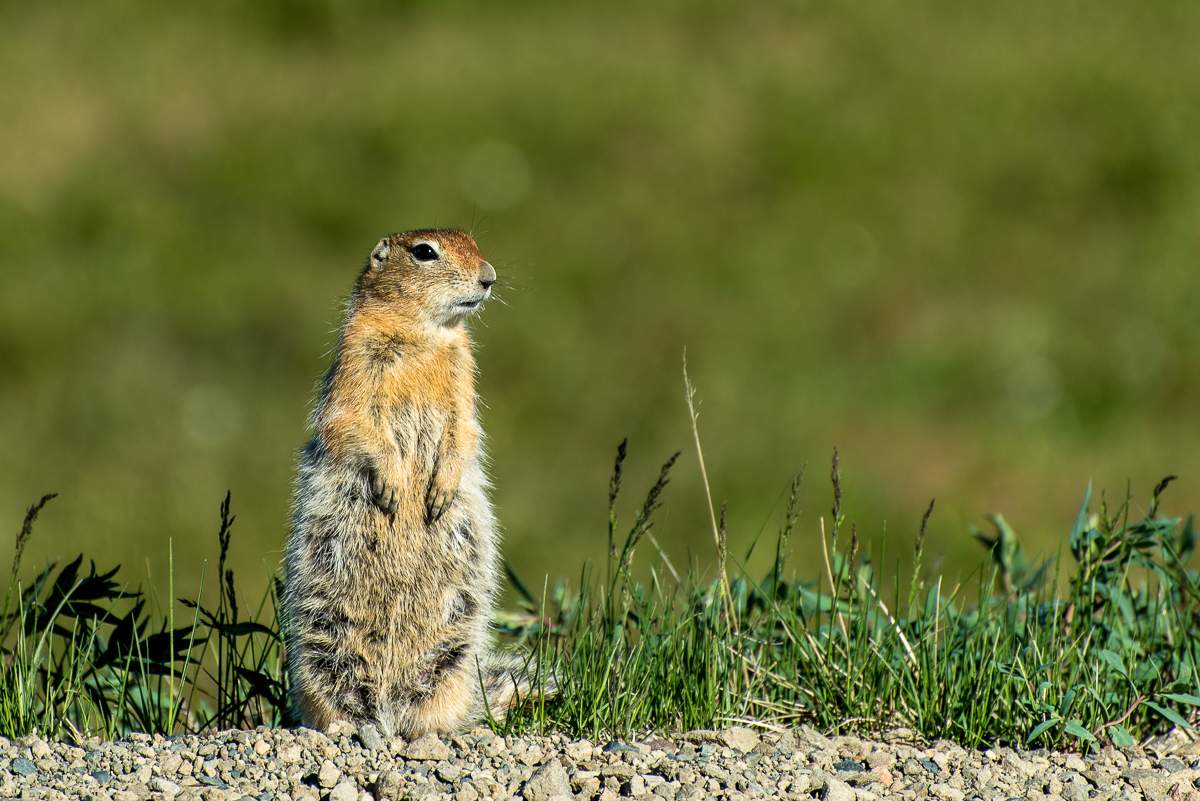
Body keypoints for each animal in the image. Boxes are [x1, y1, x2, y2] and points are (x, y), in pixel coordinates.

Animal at [284, 229, 531, 736]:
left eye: (474, 240)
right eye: (424, 252)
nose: (489, 277)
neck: (424, 336)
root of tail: (388, 713)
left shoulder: (463, 372)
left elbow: (465, 428)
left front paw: (440, 491)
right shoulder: (356, 356)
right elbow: (352, 419)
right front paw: (394, 486)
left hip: (454, 650)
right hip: (323, 645)